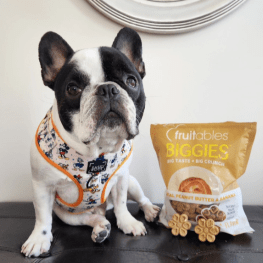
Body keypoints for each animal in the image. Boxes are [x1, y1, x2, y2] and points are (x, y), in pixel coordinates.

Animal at [20, 28, 160, 258]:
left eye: (131, 81)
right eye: (73, 89)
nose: (108, 89)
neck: (96, 151)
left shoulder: (122, 178)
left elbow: (122, 203)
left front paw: (128, 222)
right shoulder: (42, 186)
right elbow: (42, 216)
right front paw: (39, 239)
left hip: (132, 182)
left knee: (141, 199)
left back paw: (150, 211)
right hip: (67, 214)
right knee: (89, 218)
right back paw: (100, 228)